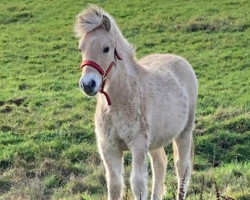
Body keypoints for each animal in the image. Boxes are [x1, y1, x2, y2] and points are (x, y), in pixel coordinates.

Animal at [74, 5, 197, 200]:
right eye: (81, 49)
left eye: (106, 48)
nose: (88, 84)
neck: (117, 103)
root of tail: (180, 60)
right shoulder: (108, 147)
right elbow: (114, 184)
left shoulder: (137, 145)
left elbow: (137, 183)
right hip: (155, 141)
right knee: (160, 163)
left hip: (184, 132)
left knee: (182, 167)